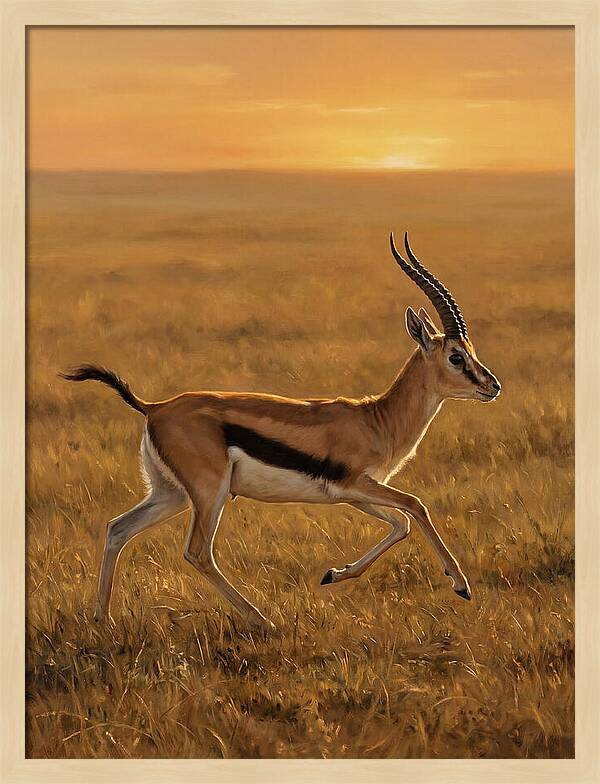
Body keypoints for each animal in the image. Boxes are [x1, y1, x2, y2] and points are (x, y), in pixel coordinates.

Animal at [62, 232, 501, 632]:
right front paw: (461, 585)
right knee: (198, 552)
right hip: (209, 493)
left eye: (471, 351)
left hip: (171, 494)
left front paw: (333, 574)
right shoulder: (356, 484)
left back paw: (103, 619)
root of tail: (154, 407)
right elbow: (415, 506)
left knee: (118, 528)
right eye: (456, 356)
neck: (377, 419)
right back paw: (263, 619)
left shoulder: (352, 493)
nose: (492, 385)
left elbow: (401, 524)